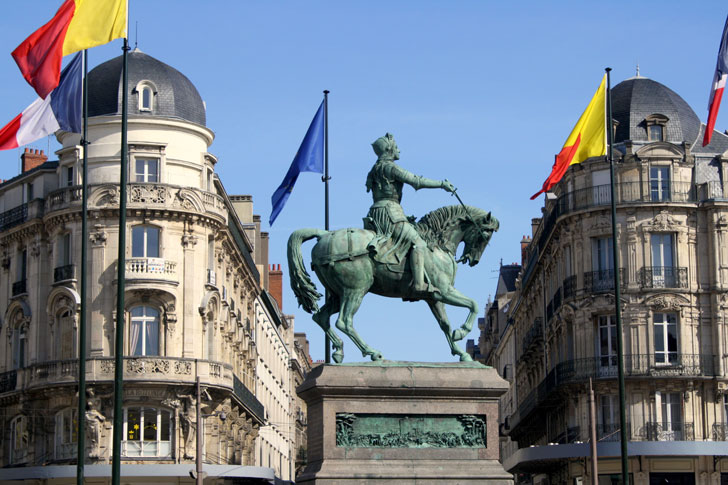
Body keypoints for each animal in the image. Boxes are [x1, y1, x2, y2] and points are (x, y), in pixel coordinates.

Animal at [288, 202, 498, 362]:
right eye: (485, 235)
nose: (473, 260)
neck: (435, 245)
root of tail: (324, 235)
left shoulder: (434, 297)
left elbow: (445, 324)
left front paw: (461, 352)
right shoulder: (445, 291)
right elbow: (473, 305)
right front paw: (461, 331)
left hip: (337, 294)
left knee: (321, 317)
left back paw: (339, 349)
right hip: (356, 289)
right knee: (344, 321)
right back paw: (372, 352)